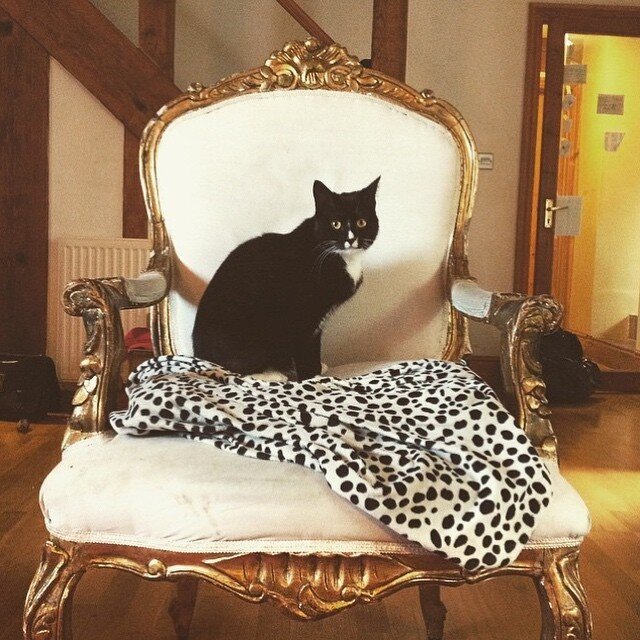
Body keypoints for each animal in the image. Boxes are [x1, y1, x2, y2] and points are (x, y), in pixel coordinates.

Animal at [192, 177, 380, 381]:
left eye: (361, 222)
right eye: (335, 224)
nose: (351, 239)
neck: (342, 257)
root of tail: (198, 354)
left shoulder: (318, 321)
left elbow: (314, 345)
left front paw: (316, 368)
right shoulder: (300, 315)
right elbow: (304, 348)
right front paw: (309, 377)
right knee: (233, 369)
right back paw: (271, 374)